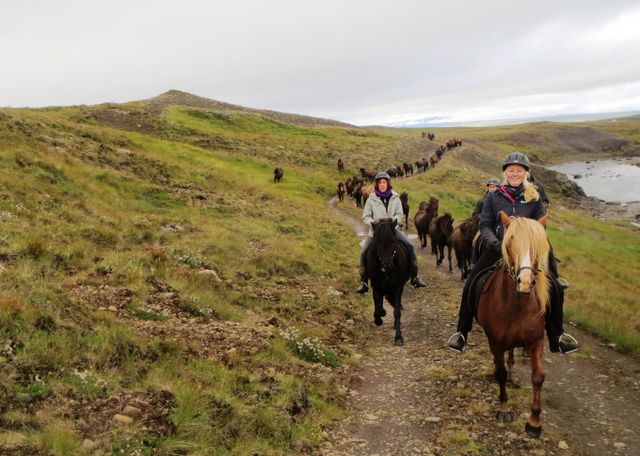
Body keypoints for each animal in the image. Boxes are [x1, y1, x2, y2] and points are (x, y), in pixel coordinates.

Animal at [476, 212, 550, 438]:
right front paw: (504, 409)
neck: (517, 304)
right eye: (509, 244)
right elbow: (500, 374)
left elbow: (538, 377)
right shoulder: (496, 342)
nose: (525, 282)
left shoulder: (536, 341)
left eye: (539, 245)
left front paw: (534, 421)